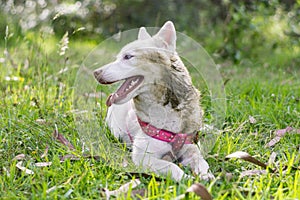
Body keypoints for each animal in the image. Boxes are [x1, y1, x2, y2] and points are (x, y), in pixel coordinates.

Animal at [94, 20, 213, 181]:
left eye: (128, 56)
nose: (96, 73)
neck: (167, 107)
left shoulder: (190, 148)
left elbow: (201, 160)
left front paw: (206, 174)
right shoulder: (144, 158)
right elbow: (173, 167)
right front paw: (187, 180)